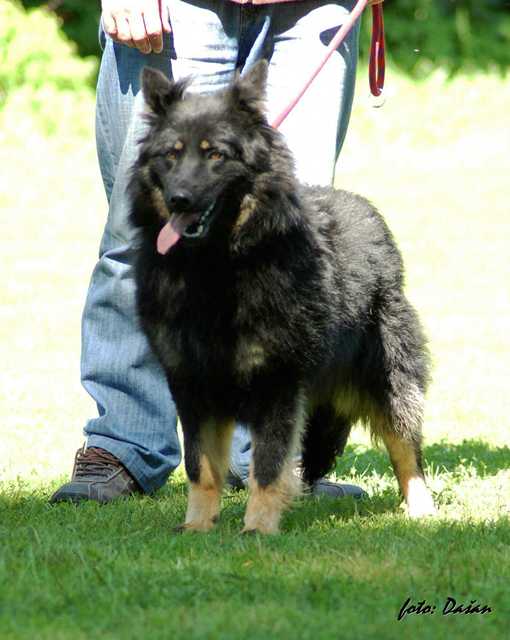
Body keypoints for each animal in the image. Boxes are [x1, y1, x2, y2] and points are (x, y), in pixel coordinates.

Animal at [129, 60, 436, 534]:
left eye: (215, 155)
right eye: (171, 154)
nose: (179, 199)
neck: (217, 269)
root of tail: (368, 211)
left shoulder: (278, 385)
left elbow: (269, 466)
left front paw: (258, 528)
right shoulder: (193, 386)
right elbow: (201, 467)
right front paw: (198, 526)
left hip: (392, 381)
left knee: (406, 448)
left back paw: (421, 509)